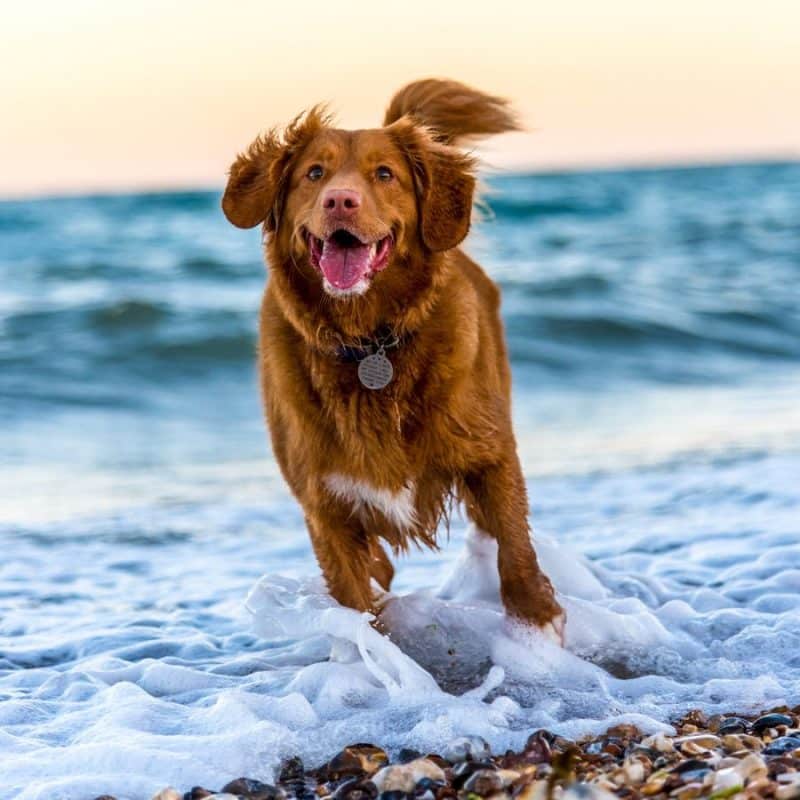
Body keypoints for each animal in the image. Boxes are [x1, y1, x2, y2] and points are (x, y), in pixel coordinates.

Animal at [222, 76, 564, 636]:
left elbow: (514, 546)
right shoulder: (325, 505)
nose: (340, 200)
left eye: (385, 174)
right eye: (314, 173)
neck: (370, 342)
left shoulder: (491, 453)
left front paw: (537, 619)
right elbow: (356, 600)